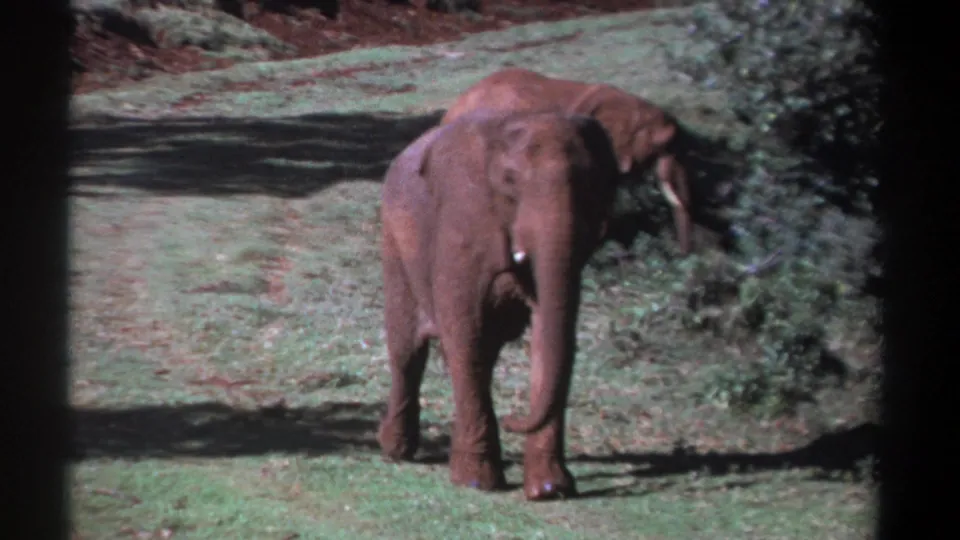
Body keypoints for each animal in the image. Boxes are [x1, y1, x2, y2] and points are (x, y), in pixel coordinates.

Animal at [377, 109, 622, 501]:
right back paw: (395, 450)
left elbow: (548, 334)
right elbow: (464, 331)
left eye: (590, 185)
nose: (512, 420)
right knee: (407, 351)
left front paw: (550, 489)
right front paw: (476, 482)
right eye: (509, 182)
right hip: (394, 239)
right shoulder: (462, 221)